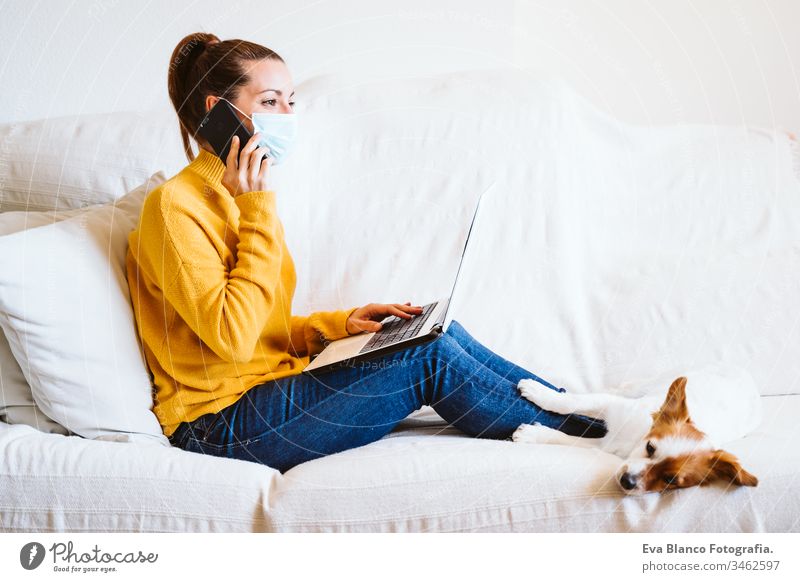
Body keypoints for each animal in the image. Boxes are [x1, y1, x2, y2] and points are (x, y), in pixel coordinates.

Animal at [512, 364, 764, 498]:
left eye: (670, 480)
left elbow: (569, 439)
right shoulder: (612, 406)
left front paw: (534, 434)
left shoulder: (605, 445)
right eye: (650, 448)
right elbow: (572, 403)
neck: (633, 439)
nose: (628, 482)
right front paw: (541, 393)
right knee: (618, 390)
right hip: (645, 384)